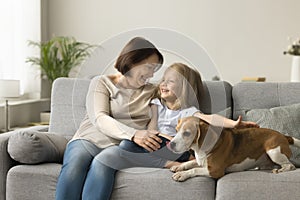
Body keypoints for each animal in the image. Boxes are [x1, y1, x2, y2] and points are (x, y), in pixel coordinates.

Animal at [168, 115, 298, 181]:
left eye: (187, 133)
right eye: (176, 130)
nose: (170, 144)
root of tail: (283, 136)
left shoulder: (215, 170)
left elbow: (195, 169)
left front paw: (182, 174)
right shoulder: (201, 161)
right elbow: (190, 163)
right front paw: (179, 167)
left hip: (273, 151)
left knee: (291, 166)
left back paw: (280, 170)